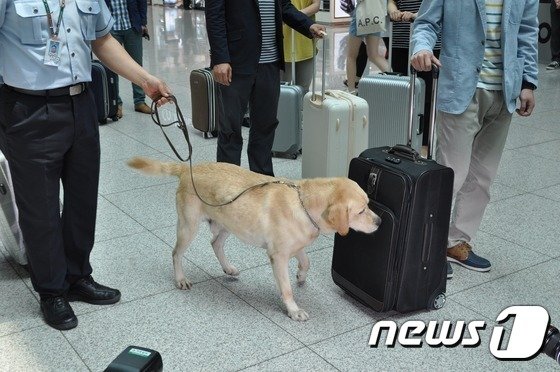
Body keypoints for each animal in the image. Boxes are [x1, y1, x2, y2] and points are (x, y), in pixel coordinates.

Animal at [128, 157, 380, 320]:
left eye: (369, 204)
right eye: (361, 211)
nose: (379, 222)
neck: (305, 203)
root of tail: (187, 168)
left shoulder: (295, 245)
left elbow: (306, 261)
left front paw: (300, 275)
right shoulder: (278, 256)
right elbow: (286, 289)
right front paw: (293, 309)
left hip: (228, 223)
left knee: (215, 243)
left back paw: (228, 268)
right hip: (188, 227)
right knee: (176, 253)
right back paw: (180, 278)